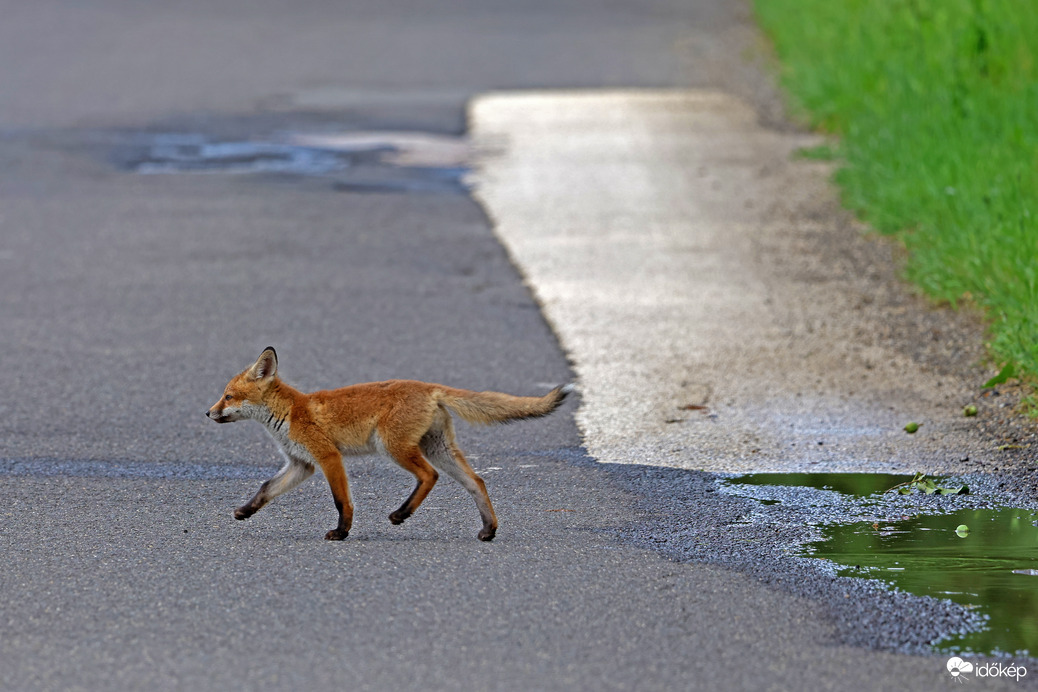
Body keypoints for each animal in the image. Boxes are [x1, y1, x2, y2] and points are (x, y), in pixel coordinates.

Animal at [205, 348, 572, 543]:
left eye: (228, 396)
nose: (208, 413)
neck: (291, 412)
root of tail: (429, 386)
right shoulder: (301, 464)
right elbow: (266, 488)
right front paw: (245, 511)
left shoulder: (328, 456)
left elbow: (342, 501)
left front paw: (341, 532)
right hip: (438, 449)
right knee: (476, 482)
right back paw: (488, 529)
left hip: (393, 447)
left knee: (429, 476)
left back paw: (401, 514)